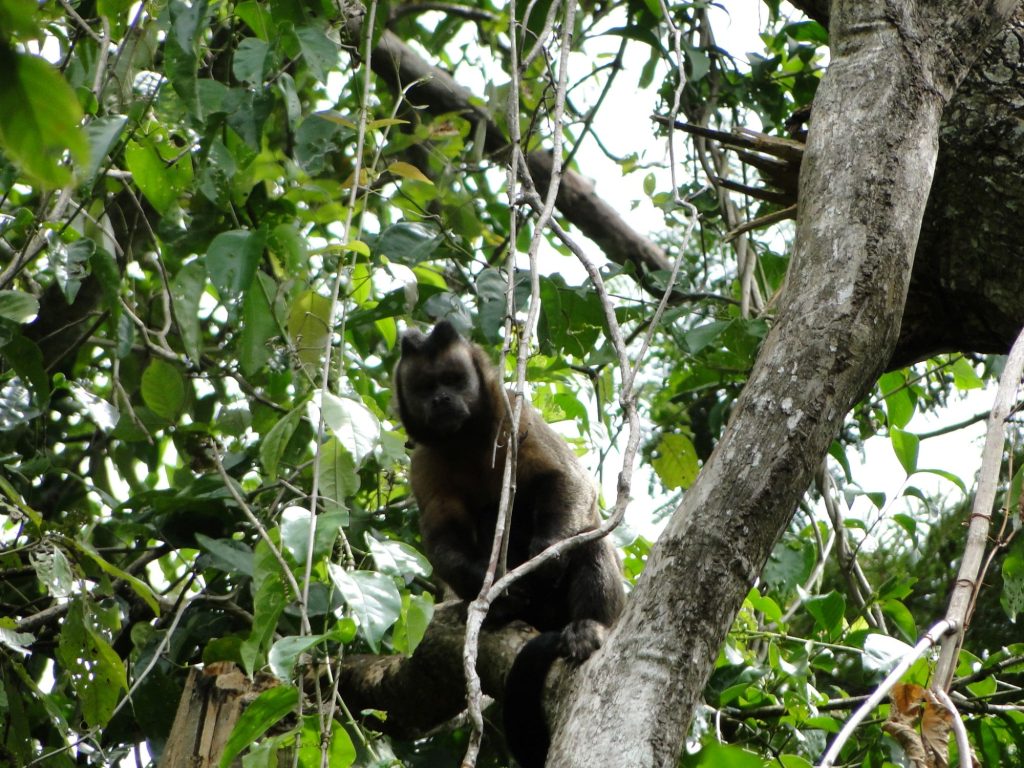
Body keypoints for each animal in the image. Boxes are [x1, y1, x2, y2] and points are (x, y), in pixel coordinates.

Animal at [394, 320, 625, 767]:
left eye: (454, 380)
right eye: (427, 386)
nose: (442, 399)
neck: (464, 439)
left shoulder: (515, 417)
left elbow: (568, 481)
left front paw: (545, 556)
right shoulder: (424, 463)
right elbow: (442, 540)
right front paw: (503, 593)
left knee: (588, 539)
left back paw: (590, 625)